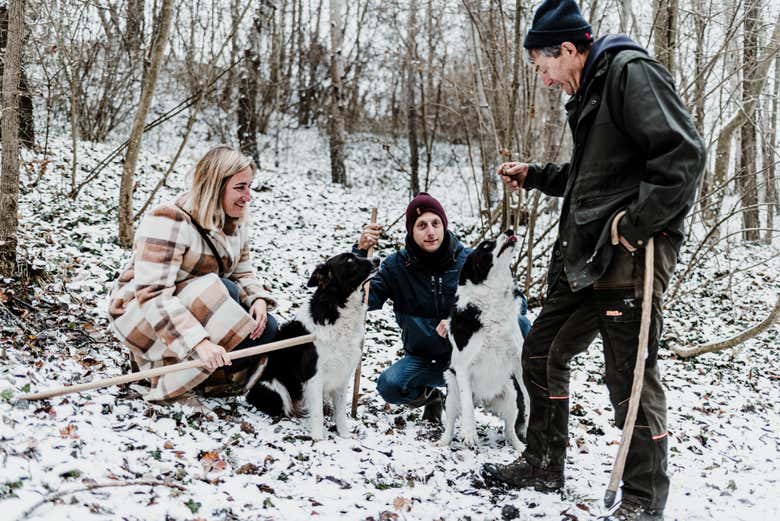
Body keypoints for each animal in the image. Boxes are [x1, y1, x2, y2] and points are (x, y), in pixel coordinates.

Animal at [244, 252, 378, 438]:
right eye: (349, 260)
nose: (377, 260)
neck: (337, 307)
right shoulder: (314, 375)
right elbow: (317, 413)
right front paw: (318, 439)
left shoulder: (342, 374)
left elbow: (340, 412)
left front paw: (344, 436)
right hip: (276, 388)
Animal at [438, 230, 532, 448]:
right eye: (486, 245)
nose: (509, 231)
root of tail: (482, 398)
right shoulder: (462, 367)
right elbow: (467, 407)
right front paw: (469, 434)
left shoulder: (518, 362)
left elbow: (529, 395)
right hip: (452, 394)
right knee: (451, 421)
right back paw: (444, 441)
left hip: (510, 397)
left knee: (509, 429)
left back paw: (519, 446)